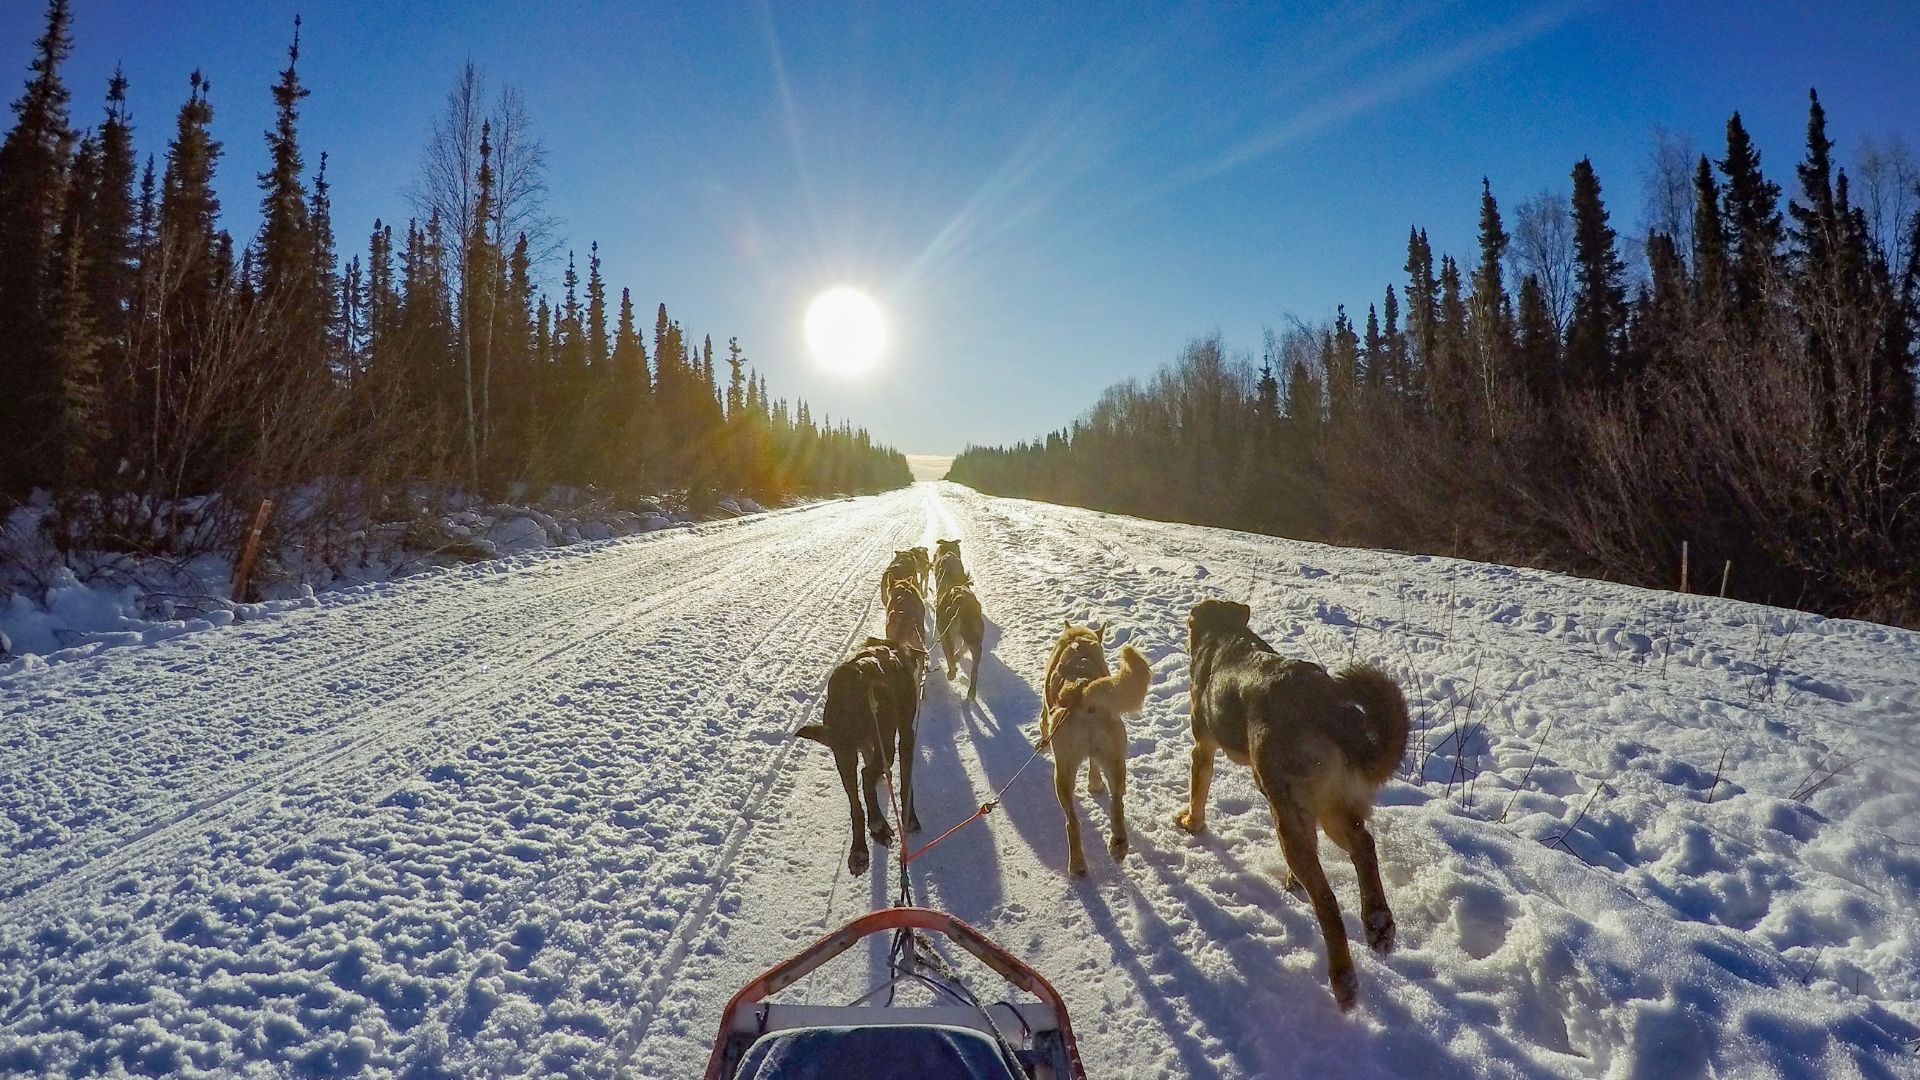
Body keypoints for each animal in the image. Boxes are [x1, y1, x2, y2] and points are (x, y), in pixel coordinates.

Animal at [1167, 595, 1413, 1006]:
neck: (1226, 635)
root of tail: (1328, 708)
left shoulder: (1203, 747)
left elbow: (1198, 791)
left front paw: (1191, 823)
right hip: (1329, 806)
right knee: (1363, 846)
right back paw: (1378, 923)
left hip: (1288, 807)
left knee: (1327, 899)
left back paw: (1343, 980)